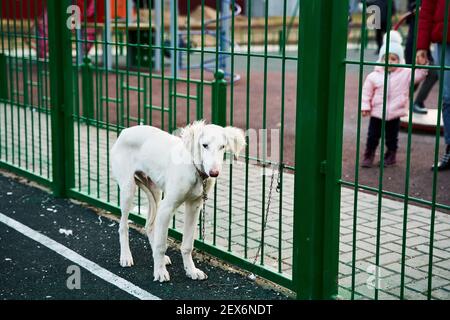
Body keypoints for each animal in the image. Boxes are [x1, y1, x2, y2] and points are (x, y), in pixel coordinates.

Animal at [112, 121, 246, 282]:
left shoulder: (194, 206)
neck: (194, 169)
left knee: (149, 225)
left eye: (223, 147)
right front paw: (160, 272)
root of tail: (125, 131)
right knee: (123, 226)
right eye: (204, 145)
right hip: (128, 189)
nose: (214, 173)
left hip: (155, 191)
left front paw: (191, 271)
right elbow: (161, 245)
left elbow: (187, 245)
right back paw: (126, 256)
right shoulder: (167, 208)